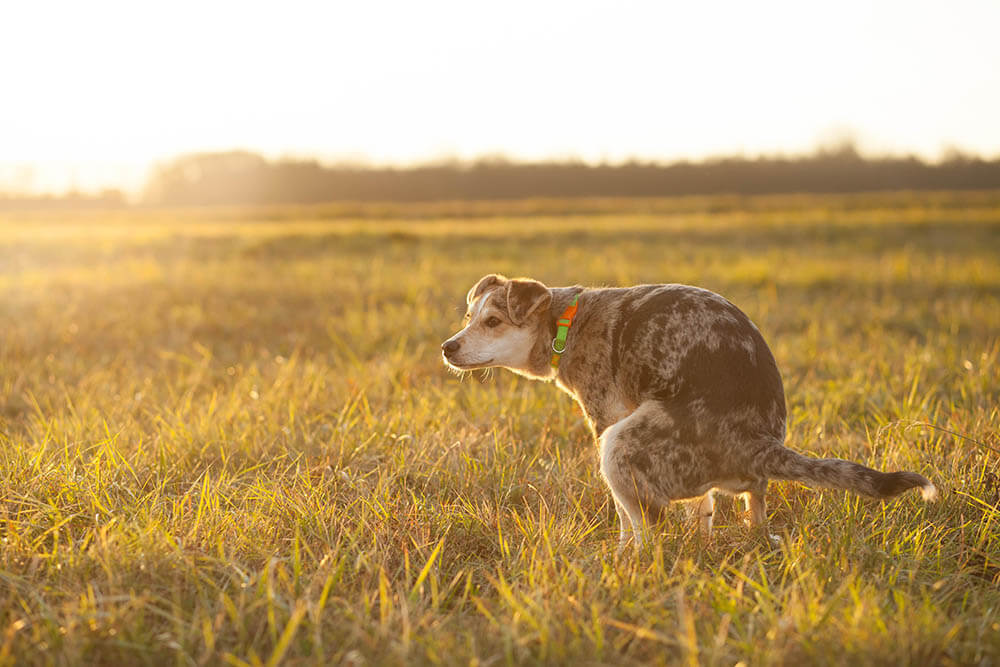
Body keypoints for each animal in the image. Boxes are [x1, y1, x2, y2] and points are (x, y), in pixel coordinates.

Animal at [440, 274, 936, 552]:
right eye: (467, 317)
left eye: (492, 322)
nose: (447, 347)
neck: (566, 322)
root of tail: (759, 443)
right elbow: (704, 509)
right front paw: (702, 537)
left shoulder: (606, 420)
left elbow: (626, 520)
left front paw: (621, 554)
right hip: (738, 484)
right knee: (754, 512)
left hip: (619, 444)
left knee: (648, 530)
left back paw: (632, 564)